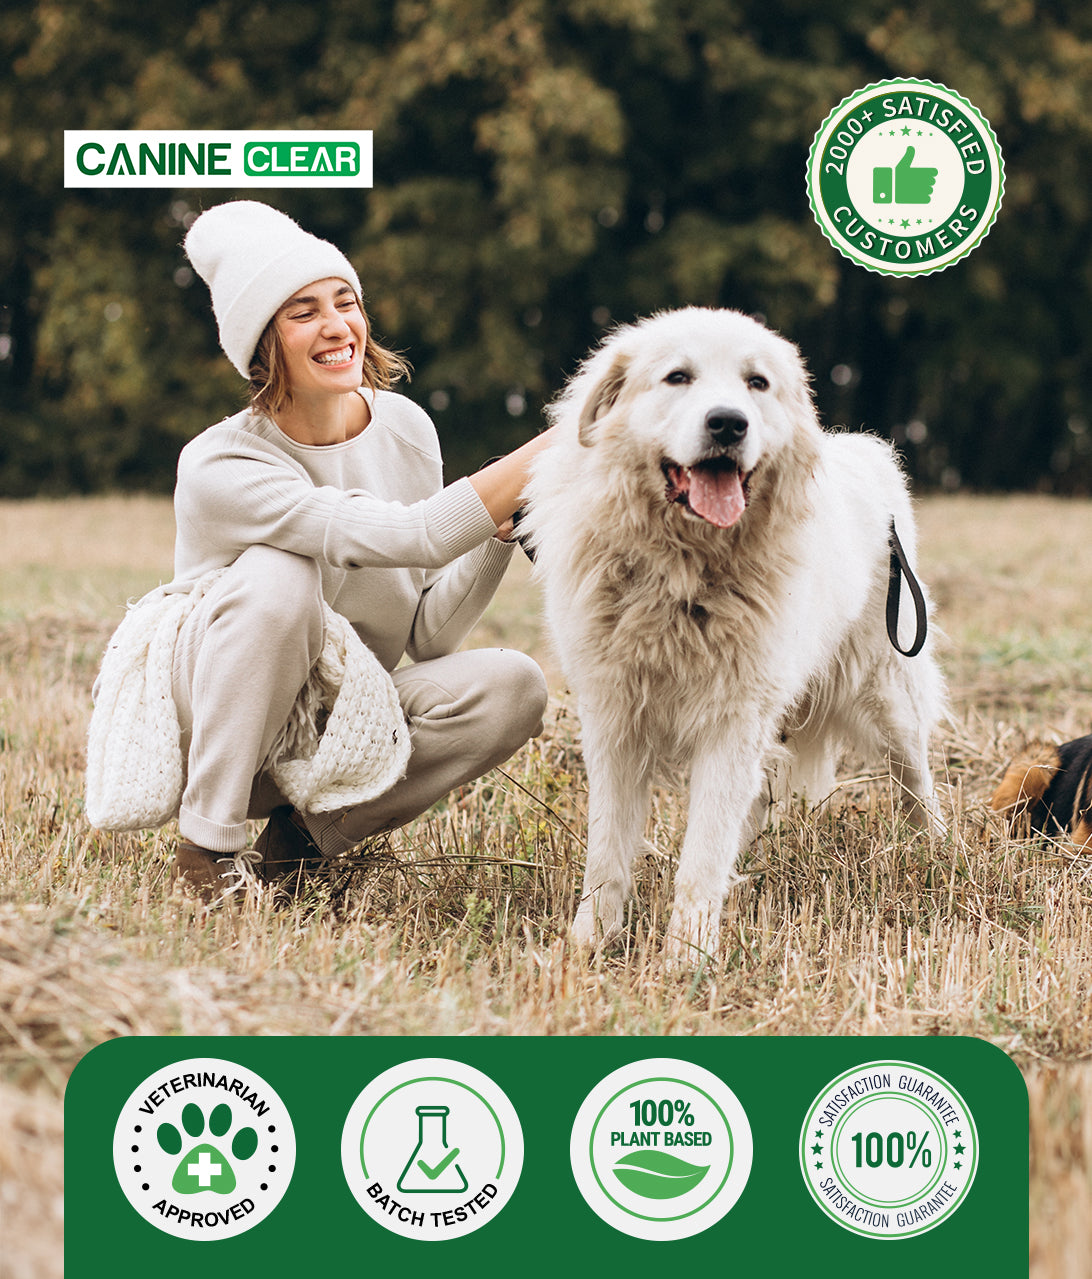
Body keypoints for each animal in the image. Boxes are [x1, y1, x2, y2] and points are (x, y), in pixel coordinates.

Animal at [524, 301, 951, 961]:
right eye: (678, 377)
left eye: (757, 383)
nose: (728, 424)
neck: (683, 575)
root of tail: (868, 452)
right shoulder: (615, 719)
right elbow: (607, 853)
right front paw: (590, 943)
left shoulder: (733, 718)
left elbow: (701, 854)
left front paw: (686, 957)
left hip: (888, 691)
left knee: (915, 782)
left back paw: (934, 854)